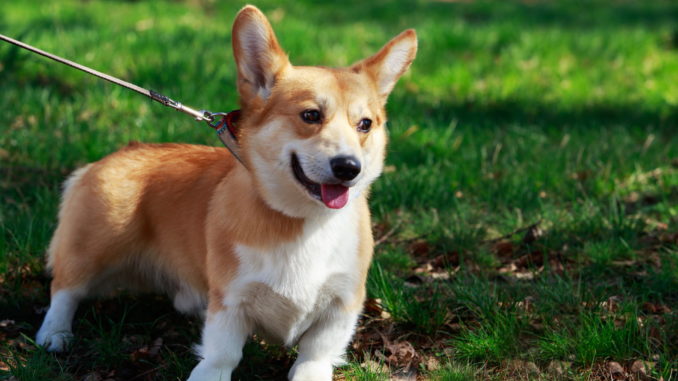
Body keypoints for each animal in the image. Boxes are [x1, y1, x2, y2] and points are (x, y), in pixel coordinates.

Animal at [37, 5, 420, 380]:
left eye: (365, 124)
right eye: (311, 115)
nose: (349, 168)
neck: (302, 221)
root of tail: (112, 156)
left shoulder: (340, 305)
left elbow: (314, 358)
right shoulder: (230, 303)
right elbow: (222, 356)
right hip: (95, 244)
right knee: (65, 288)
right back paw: (54, 333)